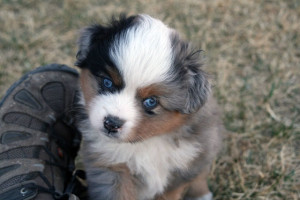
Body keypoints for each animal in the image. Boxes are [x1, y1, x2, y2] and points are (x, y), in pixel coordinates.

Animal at [76, 14, 221, 200]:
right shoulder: (111, 166)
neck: (144, 142)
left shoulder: (182, 168)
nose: (111, 124)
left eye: (151, 101)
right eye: (107, 82)